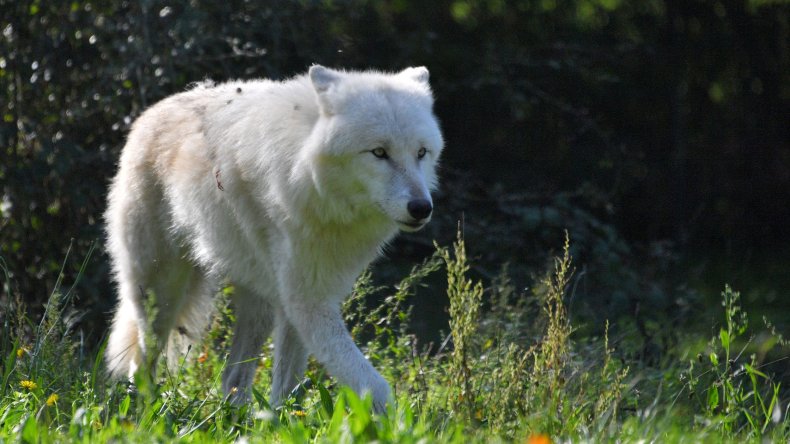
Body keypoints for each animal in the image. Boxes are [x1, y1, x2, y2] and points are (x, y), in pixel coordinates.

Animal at [103, 64, 446, 412]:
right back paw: (141, 412)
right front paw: (392, 419)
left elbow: (287, 385)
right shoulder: (308, 301)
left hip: (260, 304)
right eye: (379, 152)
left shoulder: (305, 296)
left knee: (232, 377)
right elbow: (374, 385)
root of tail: (149, 113)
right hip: (162, 295)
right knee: (141, 365)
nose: (422, 208)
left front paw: (282, 419)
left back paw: (234, 416)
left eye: (421, 153)